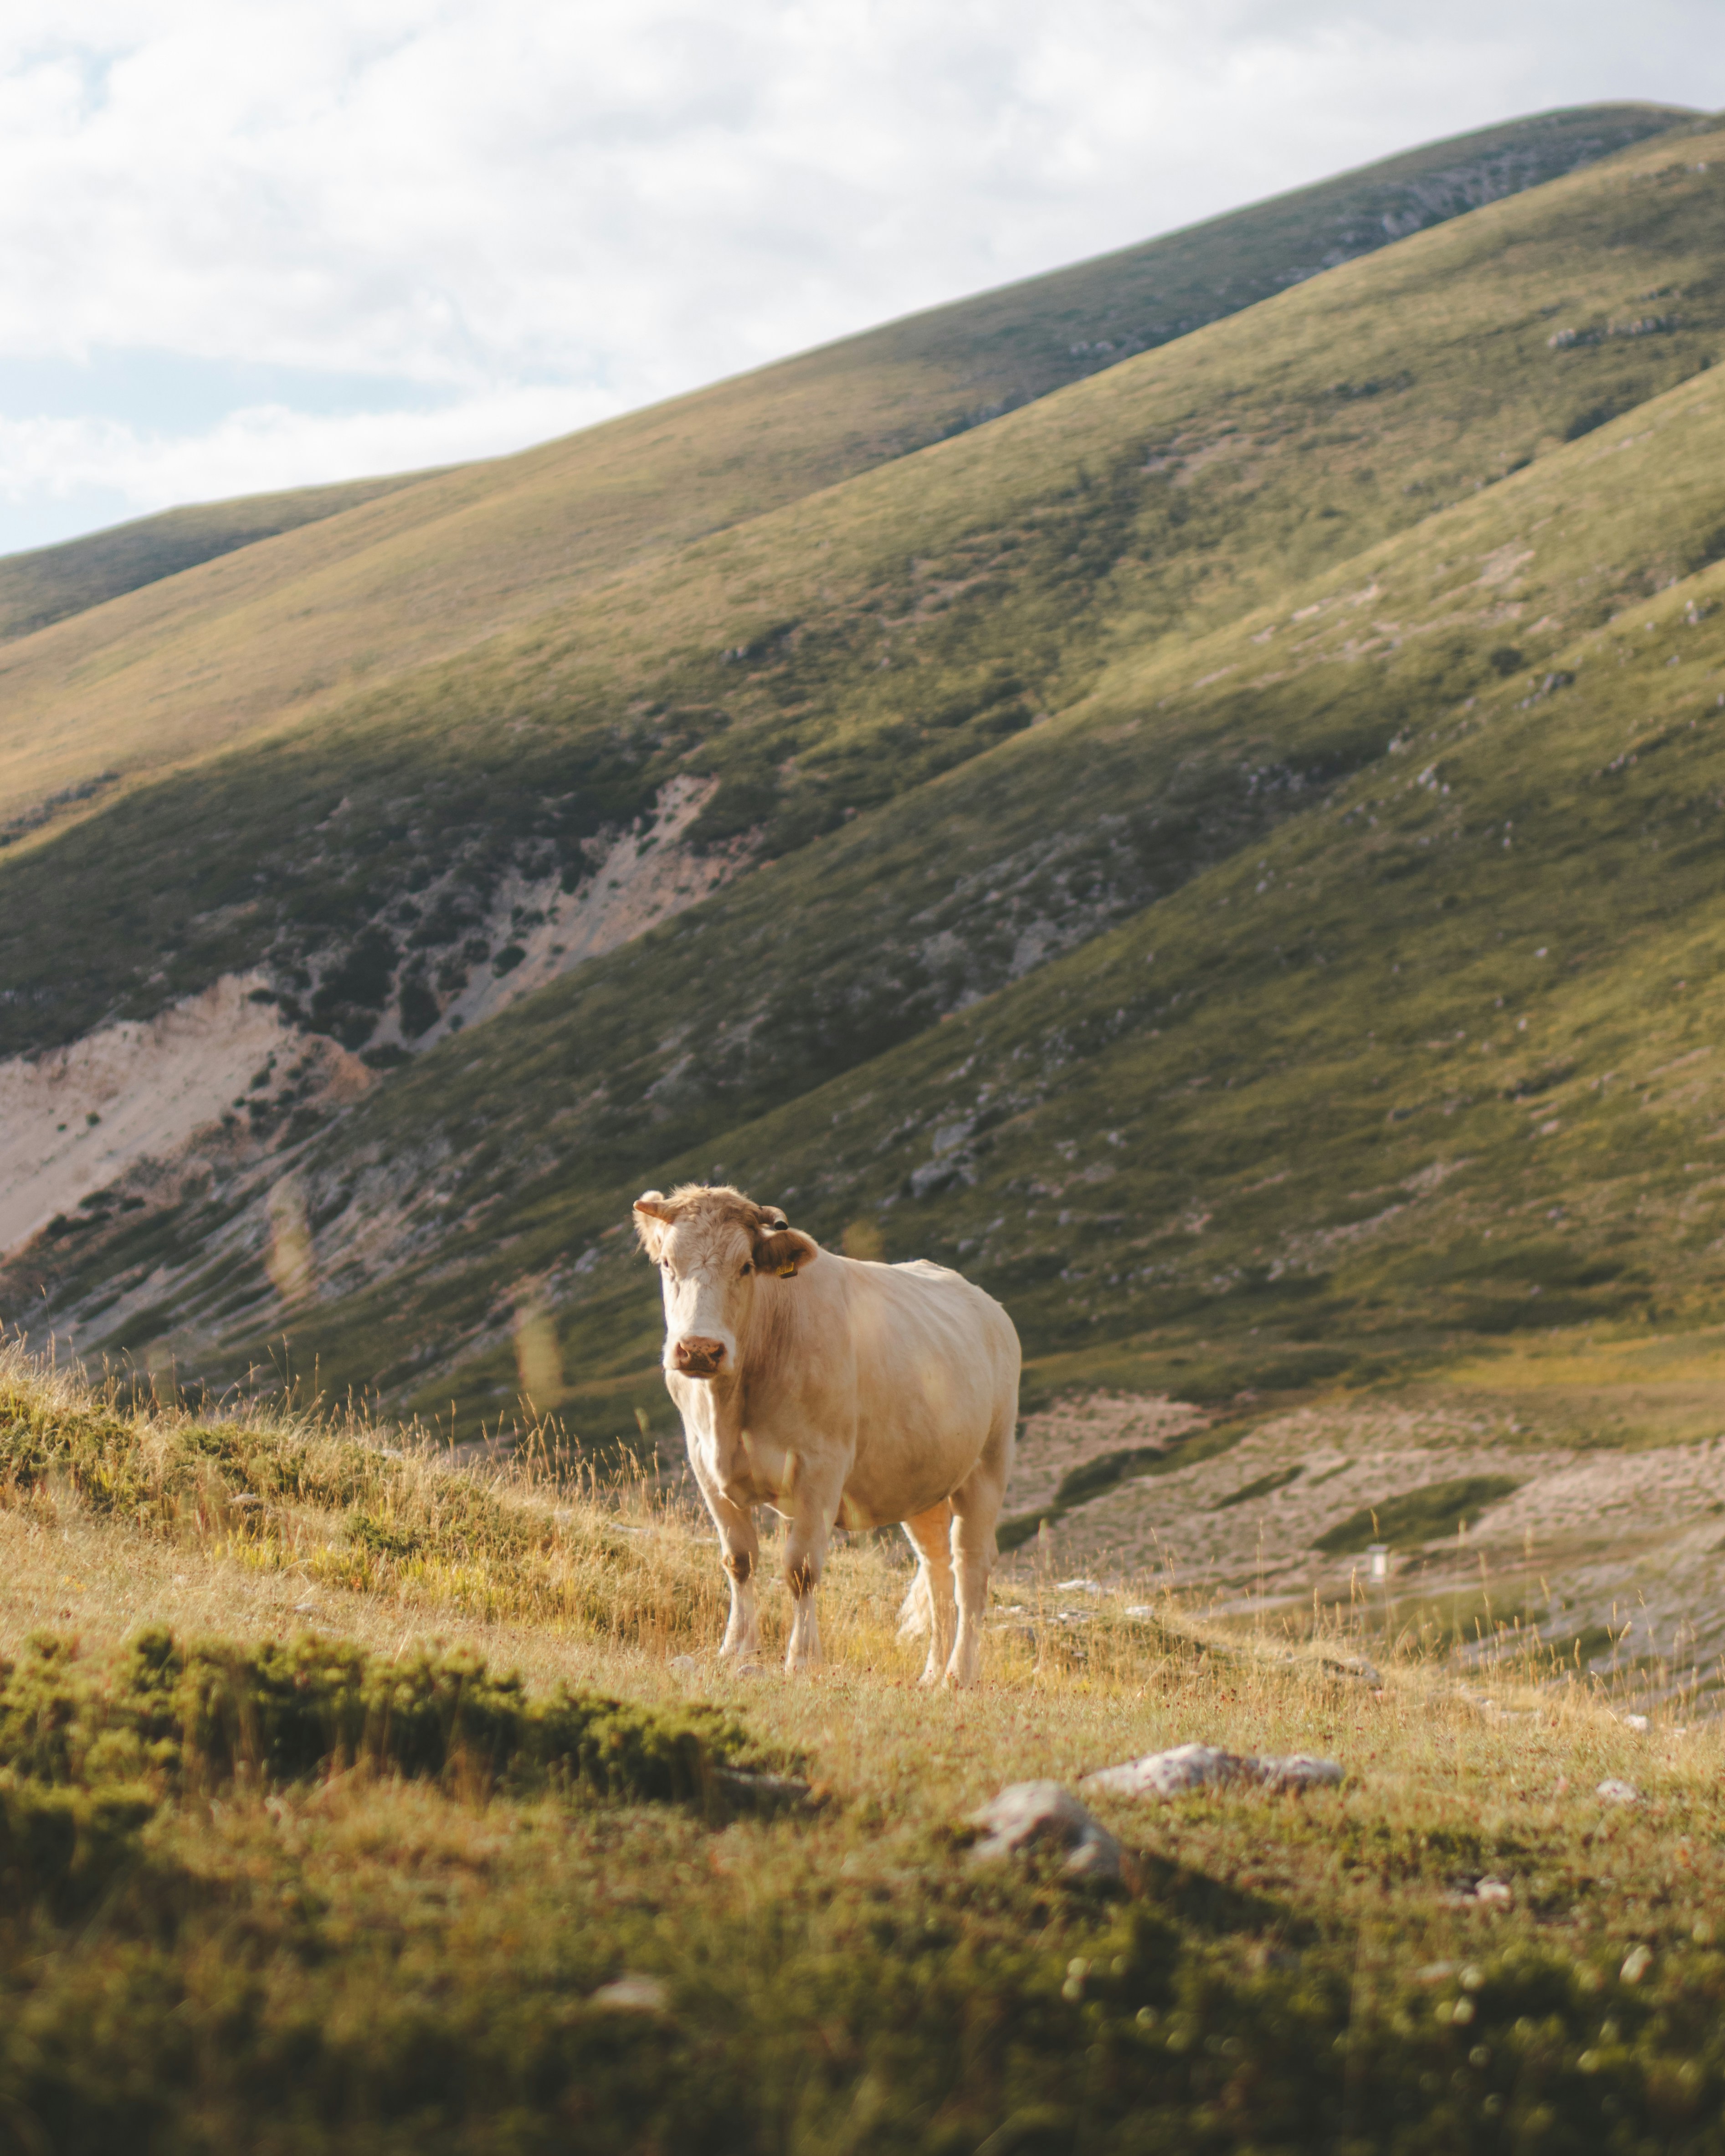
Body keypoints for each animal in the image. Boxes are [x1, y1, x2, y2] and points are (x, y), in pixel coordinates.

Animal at [633, 1183, 1020, 1686]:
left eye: (746, 1266)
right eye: (667, 1264)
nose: (700, 1349)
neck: (731, 1408)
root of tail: (991, 1308)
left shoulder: (821, 1466)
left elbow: (800, 1568)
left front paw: (801, 1659)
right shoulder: (705, 1463)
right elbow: (740, 1560)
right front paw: (736, 1650)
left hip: (987, 1466)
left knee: (971, 1569)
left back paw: (959, 1674)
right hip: (923, 1482)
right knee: (937, 1567)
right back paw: (932, 1674)